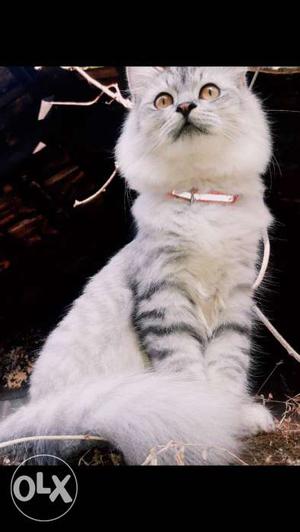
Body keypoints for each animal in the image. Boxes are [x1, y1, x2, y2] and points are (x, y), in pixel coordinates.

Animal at [0, 67, 274, 466]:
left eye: (208, 92)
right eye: (163, 100)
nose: (185, 107)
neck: (202, 202)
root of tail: (36, 408)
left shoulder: (234, 302)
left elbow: (228, 369)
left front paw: (234, 415)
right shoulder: (164, 299)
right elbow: (188, 373)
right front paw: (205, 423)